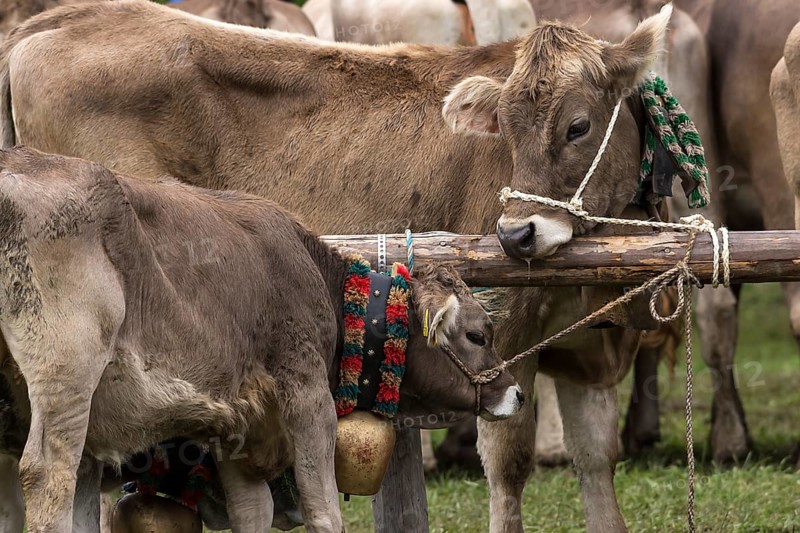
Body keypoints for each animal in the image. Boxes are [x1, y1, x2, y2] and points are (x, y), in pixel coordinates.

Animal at [0, 146, 523, 532]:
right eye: (478, 333)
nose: (515, 392)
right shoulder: (307, 396)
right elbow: (324, 511)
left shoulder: (238, 428)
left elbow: (253, 513)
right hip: (67, 376)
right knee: (48, 474)